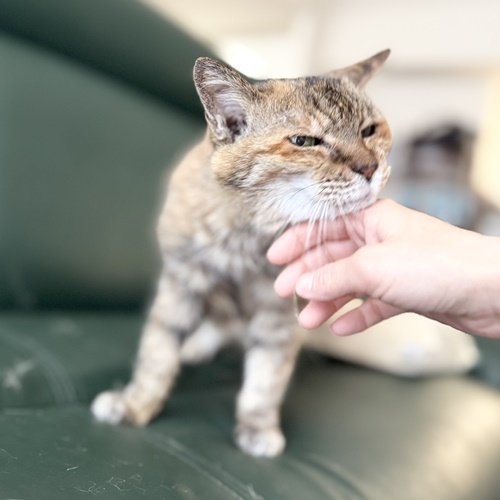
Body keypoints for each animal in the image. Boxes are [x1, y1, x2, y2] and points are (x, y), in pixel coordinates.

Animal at [91, 50, 477, 457]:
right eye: (304, 141)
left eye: (369, 130)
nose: (370, 168)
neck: (247, 237)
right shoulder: (181, 282)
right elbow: (157, 352)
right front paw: (136, 402)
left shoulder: (280, 313)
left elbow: (266, 377)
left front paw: (257, 427)